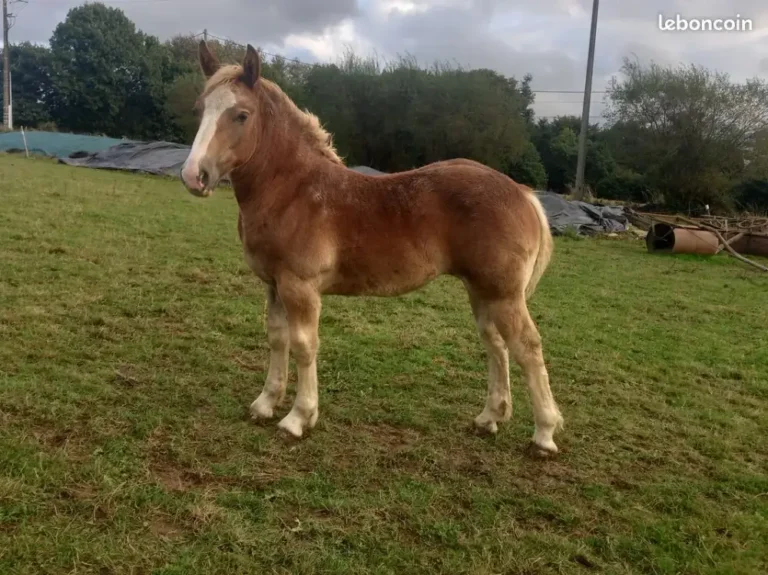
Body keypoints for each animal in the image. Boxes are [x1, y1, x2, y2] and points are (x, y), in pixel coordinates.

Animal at [180, 41, 564, 456]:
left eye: (241, 115)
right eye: (201, 109)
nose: (194, 176)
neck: (293, 191)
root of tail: (523, 193)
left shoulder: (300, 287)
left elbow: (304, 346)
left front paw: (298, 419)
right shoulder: (274, 284)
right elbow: (277, 338)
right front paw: (265, 404)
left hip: (504, 294)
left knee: (527, 347)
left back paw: (544, 435)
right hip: (481, 291)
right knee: (495, 344)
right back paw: (489, 418)